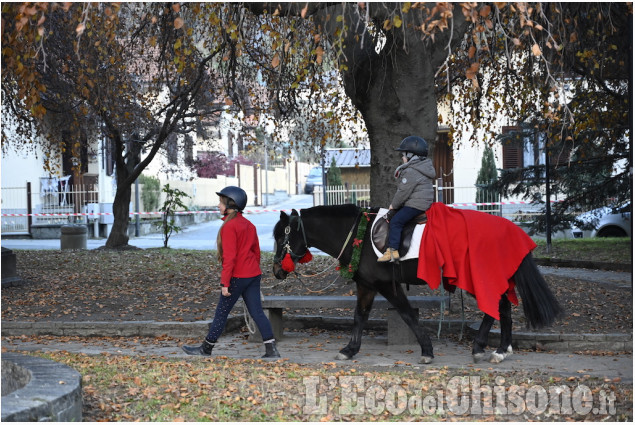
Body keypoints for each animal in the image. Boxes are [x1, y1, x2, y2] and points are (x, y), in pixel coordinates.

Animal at [274, 204, 560, 362]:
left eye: (280, 236)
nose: (277, 270)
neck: (359, 235)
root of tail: (510, 229)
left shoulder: (386, 285)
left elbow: (407, 314)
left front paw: (427, 349)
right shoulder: (367, 284)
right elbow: (360, 315)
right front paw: (350, 348)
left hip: (479, 278)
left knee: (494, 308)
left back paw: (481, 346)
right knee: (504, 308)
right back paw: (501, 349)